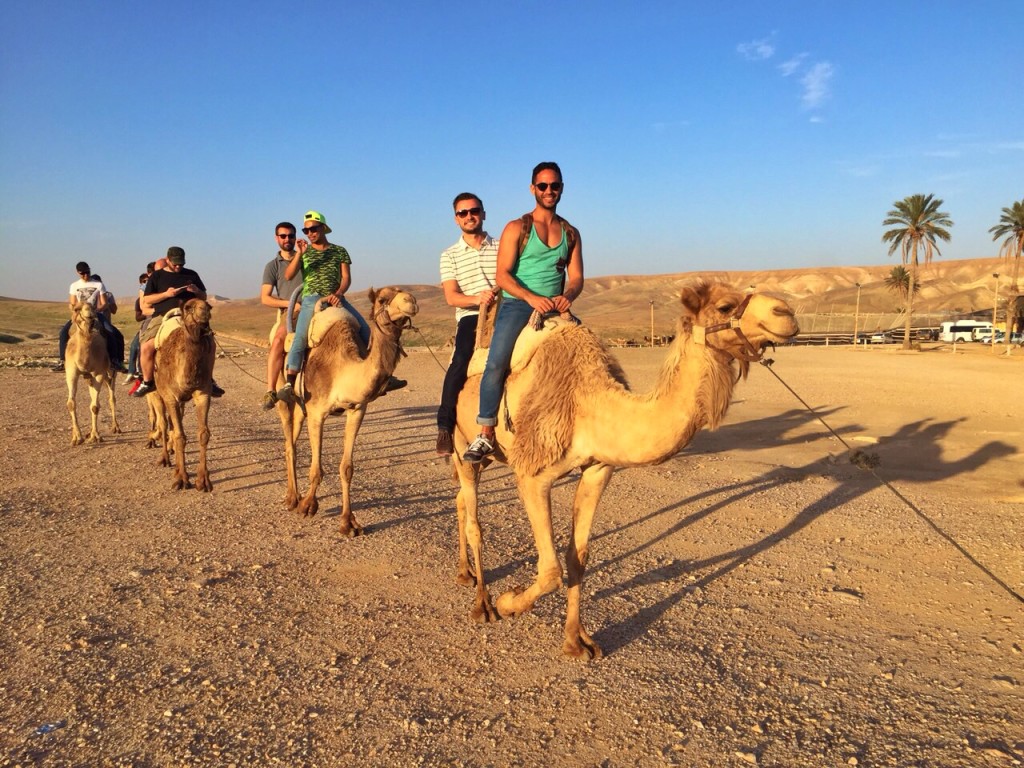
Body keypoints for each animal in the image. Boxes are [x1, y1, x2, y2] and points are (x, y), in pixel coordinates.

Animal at [65, 301, 121, 444]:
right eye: (76, 309)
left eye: (93, 307)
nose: (89, 314)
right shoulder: (71, 372)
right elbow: (71, 404)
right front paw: (77, 437)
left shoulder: (99, 373)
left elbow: (95, 406)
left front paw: (95, 436)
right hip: (89, 377)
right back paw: (88, 432)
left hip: (110, 372)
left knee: (111, 398)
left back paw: (115, 427)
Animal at [148, 301, 216, 493]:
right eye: (188, 307)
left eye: (208, 305)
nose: (204, 311)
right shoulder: (170, 397)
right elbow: (179, 436)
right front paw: (182, 480)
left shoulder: (203, 392)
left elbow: (203, 434)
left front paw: (203, 480)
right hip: (157, 393)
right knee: (164, 424)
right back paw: (165, 458)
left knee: (172, 425)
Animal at [278, 286, 417, 536]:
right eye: (382, 299)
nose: (410, 301)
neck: (342, 371)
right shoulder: (317, 412)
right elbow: (316, 468)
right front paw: (308, 506)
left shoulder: (357, 410)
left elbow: (347, 468)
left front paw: (349, 523)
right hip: (287, 395)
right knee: (289, 444)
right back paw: (293, 499)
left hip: (302, 408)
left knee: (291, 441)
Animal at [454, 282, 798, 663]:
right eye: (725, 306)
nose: (786, 313)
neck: (589, 405)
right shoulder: (533, 473)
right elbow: (550, 570)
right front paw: (509, 602)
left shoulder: (598, 470)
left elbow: (577, 558)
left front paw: (577, 642)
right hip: (463, 445)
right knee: (474, 521)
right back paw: (483, 604)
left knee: (459, 501)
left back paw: (465, 574)